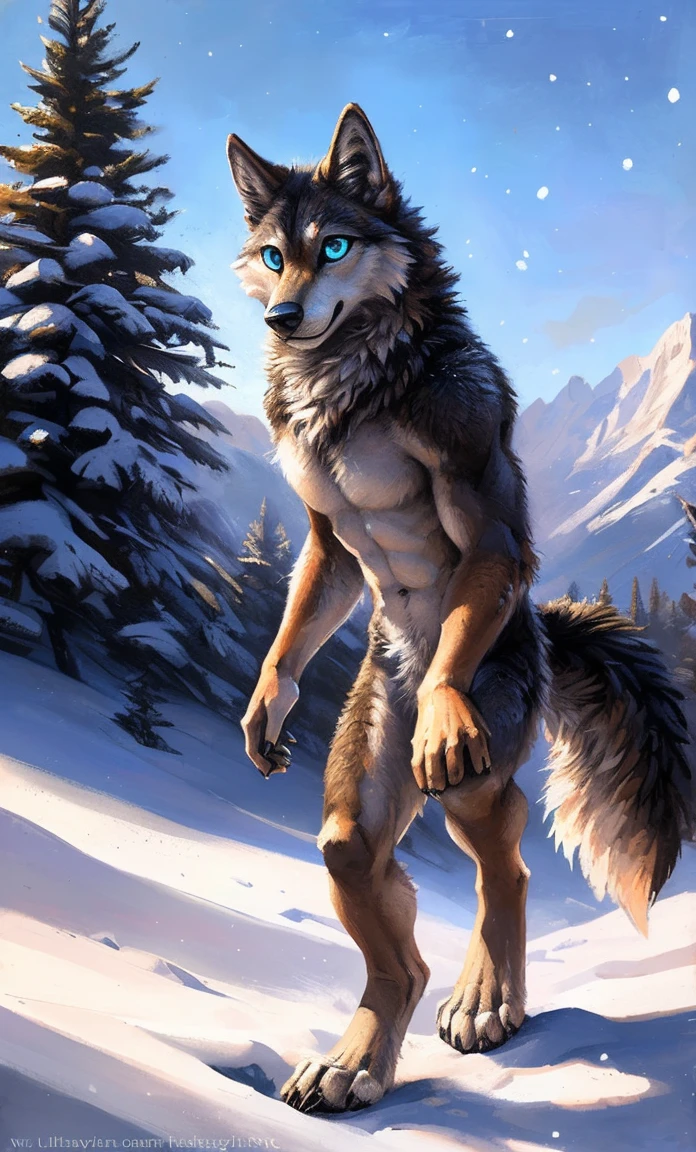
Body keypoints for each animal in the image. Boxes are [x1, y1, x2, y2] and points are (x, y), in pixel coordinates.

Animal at [226, 104, 693, 1113]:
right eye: (276, 255)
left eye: (334, 245)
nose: (283, 317)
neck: (356, 382)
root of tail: (544, 634)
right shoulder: (324, 543)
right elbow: (313, 592)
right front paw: (268, 704)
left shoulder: (470, 448)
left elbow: (491, 541)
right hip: (373, 751)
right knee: (375, 903)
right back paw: (355, 1063)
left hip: (480, 753)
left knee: (505, 858)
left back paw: (489, 1002)